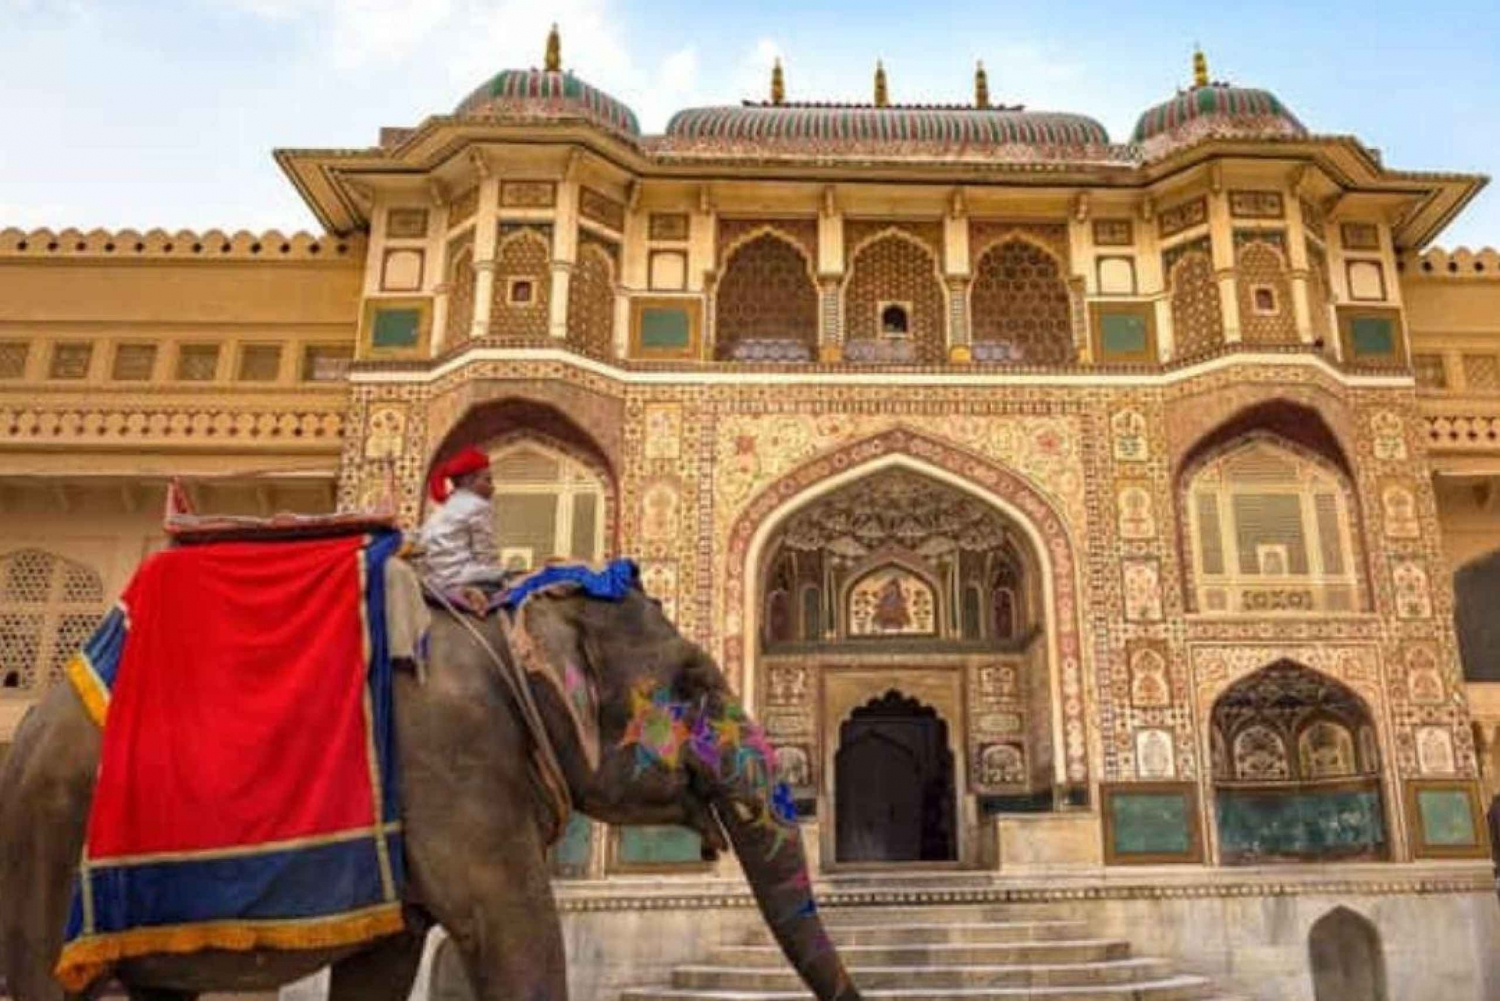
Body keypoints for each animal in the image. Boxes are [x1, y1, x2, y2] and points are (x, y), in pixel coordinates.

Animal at [0, 579, 864, 1001]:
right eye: (692, 682)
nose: (799, 795)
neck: (508, 633)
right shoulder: (448, 753)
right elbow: (515, 931)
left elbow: (386, 966)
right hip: (45, 832)